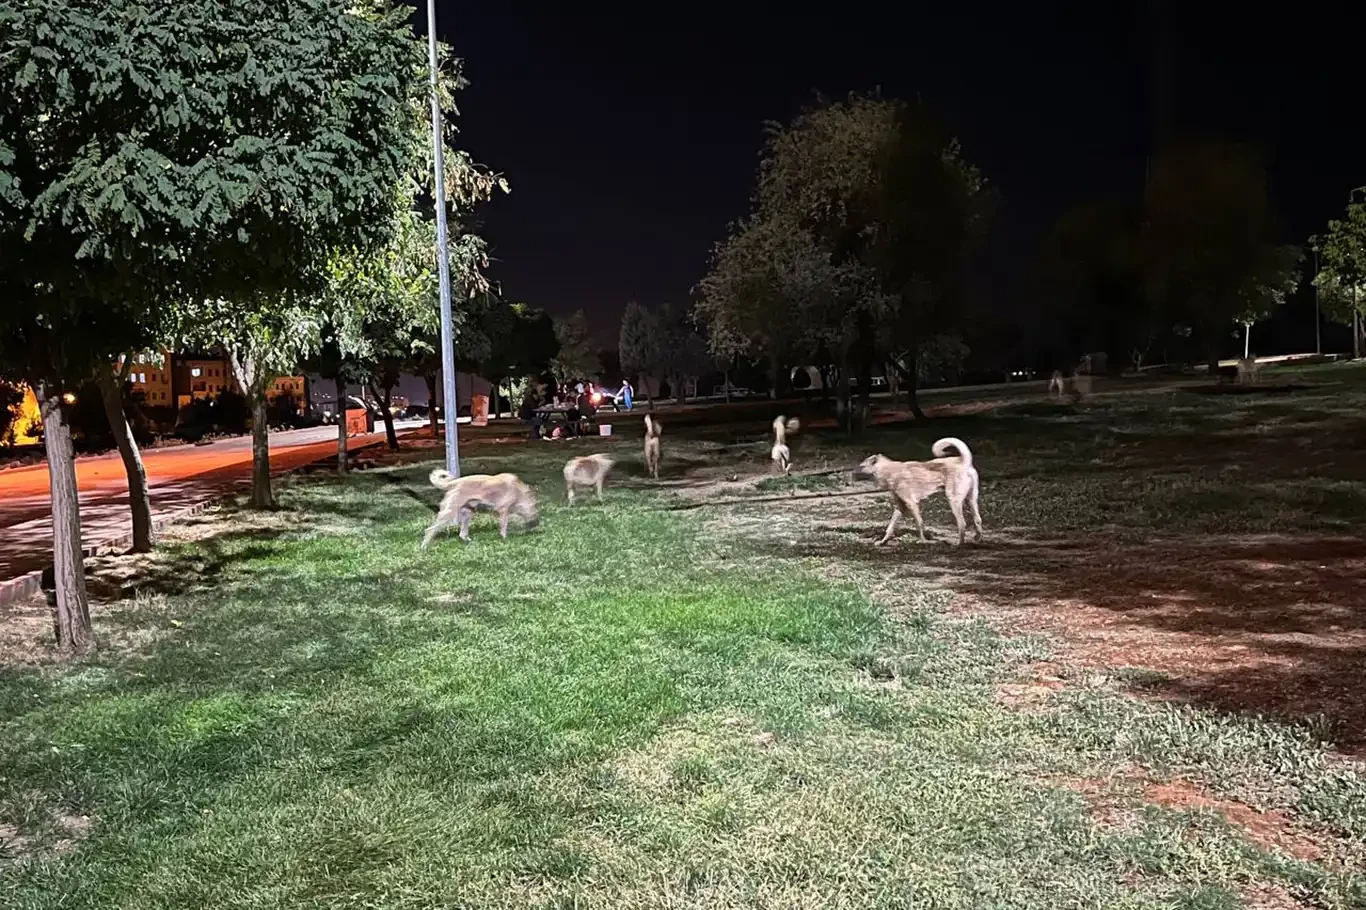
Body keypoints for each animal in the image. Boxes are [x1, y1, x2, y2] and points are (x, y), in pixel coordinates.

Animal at [852, 434, 983, 541]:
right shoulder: (900, 507)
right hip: (971, 500)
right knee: (977, 520)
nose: (852, 473)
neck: (890, 470)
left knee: (962, 524)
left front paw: (923, 541)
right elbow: (890, 527)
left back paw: (959, 545)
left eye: (861, 466)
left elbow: (919, 523)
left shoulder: (911, 503)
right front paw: (883, 541)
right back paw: (977, 539)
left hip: (953, 501)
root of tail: (963, 461)